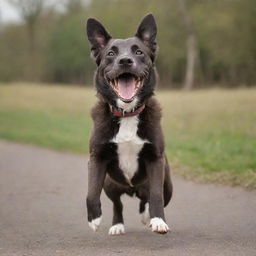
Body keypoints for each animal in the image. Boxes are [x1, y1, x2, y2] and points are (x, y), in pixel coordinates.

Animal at [85, 13, 172, 234]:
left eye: (139, 52)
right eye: (111, 53)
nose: (125, 60)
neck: (127, 114)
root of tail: (132, 189)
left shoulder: (155, 159)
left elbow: (156, 196)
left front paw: (158, 220)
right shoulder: (97, 158)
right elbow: (91, 192)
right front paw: (94, 219)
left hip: (167, 184)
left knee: (149, 198)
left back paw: (147, 215)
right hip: (110, 184)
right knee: (118, 204)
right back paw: (117, 225)